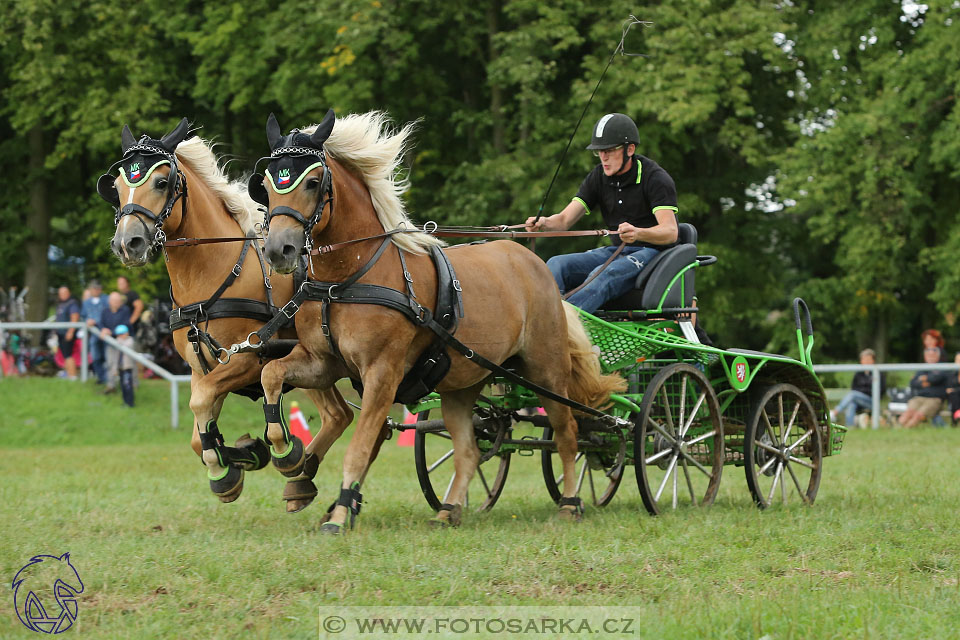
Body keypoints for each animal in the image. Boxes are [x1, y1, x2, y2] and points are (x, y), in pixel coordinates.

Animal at [99, 119, 380, 510]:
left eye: (161, 182)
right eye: (118, 186)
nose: (128, 243)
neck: (210, 276)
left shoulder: (249, 359)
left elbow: (201, 403)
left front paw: (245, 460)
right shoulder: (201, 368)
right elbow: (199, 432)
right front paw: (241, 457)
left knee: (341, 414)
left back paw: (295, 462)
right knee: (338, 414)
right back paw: (301, 477)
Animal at [248, 111, 624, 536]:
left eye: (312, 183)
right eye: (266, 186)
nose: (279, 250)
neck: (345, 281)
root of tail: (535, 264)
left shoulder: (383, 373)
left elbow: (361, 446)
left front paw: (340, 512)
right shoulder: (323, 362)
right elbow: (271, 375)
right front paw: (287, 455)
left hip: (546, 371)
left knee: (567, 434)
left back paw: (571, 502)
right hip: (461, 385)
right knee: (469, 449)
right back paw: (449, 508)